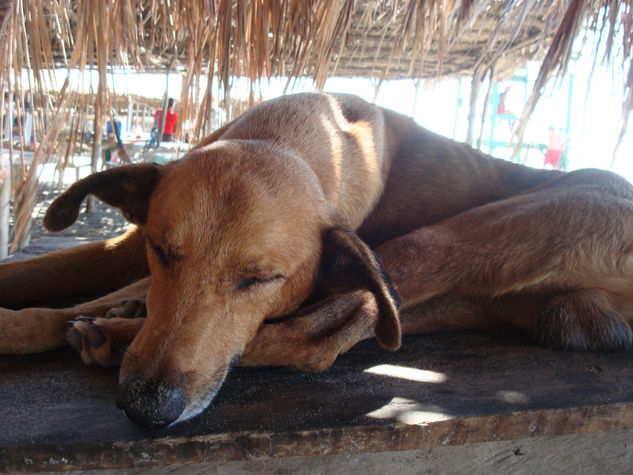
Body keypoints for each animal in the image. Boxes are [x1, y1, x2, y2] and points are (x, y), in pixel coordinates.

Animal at [1, 92, 632, 428]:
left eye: (260, 278)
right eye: (164, 250)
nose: (145, 406)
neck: (287, 135)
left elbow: (75, 305)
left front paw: (46, 326)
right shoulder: (129, 248)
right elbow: (35, 276)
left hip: (456, 239)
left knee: (317, 339)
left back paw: (108, 334)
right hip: (461, 299)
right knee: (347, 325)